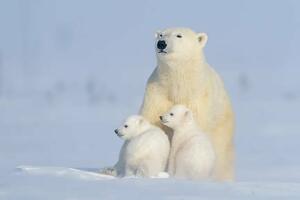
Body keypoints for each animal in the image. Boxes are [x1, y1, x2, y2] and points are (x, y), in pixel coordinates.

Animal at [139, 27, 236, 181]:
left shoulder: (197, 98)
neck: (179, 85)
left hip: (222, 128)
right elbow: (152, 121)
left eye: (179, 35)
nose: (161, 43)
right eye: (161, 34)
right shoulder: (157, 92)